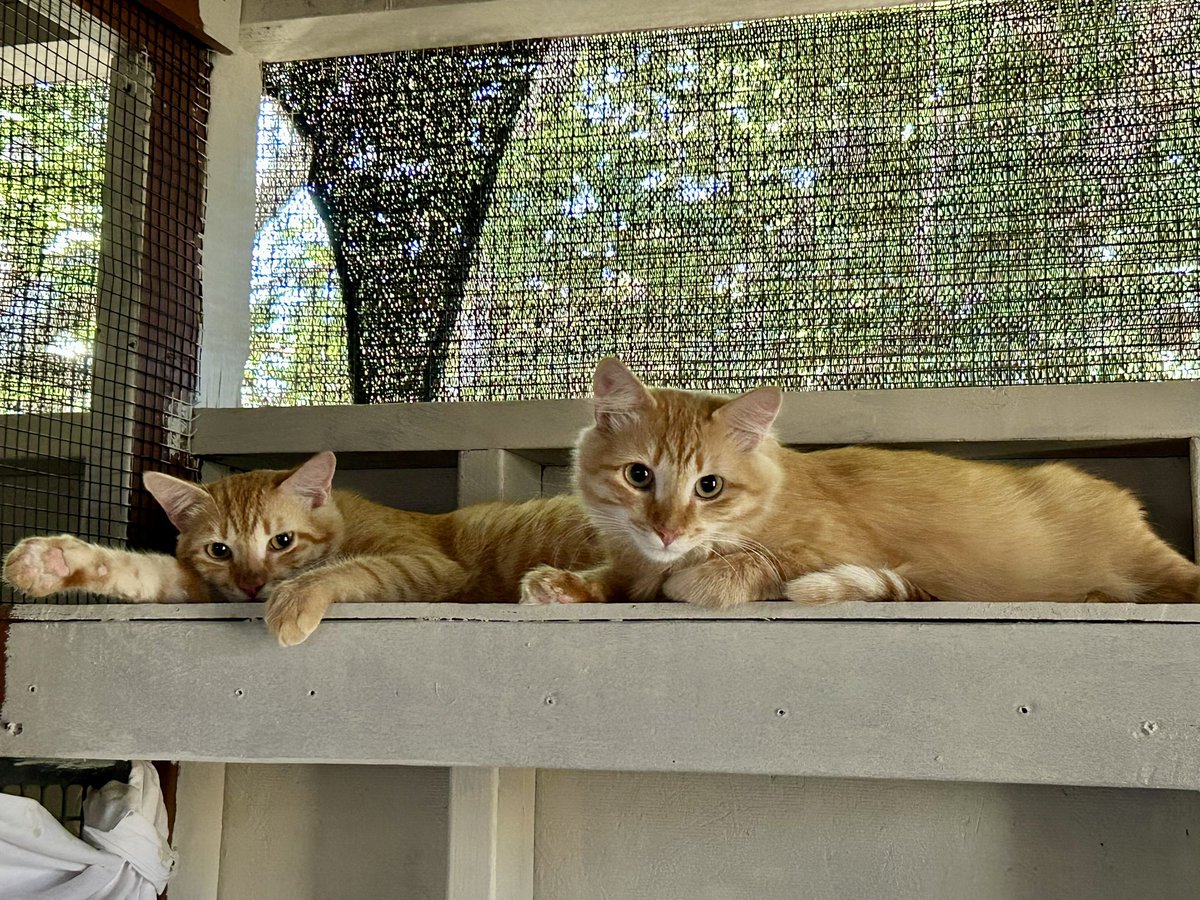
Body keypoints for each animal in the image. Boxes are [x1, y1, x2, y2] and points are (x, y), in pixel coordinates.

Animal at [0, 453, 600, 643]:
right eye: (219, 551)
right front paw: (55, 560)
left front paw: (294, 597)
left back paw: (558, 589)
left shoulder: (428, 564)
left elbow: (357, 570)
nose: (252, 586)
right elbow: (143, 572)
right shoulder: (202, 587)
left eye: (281, 541)